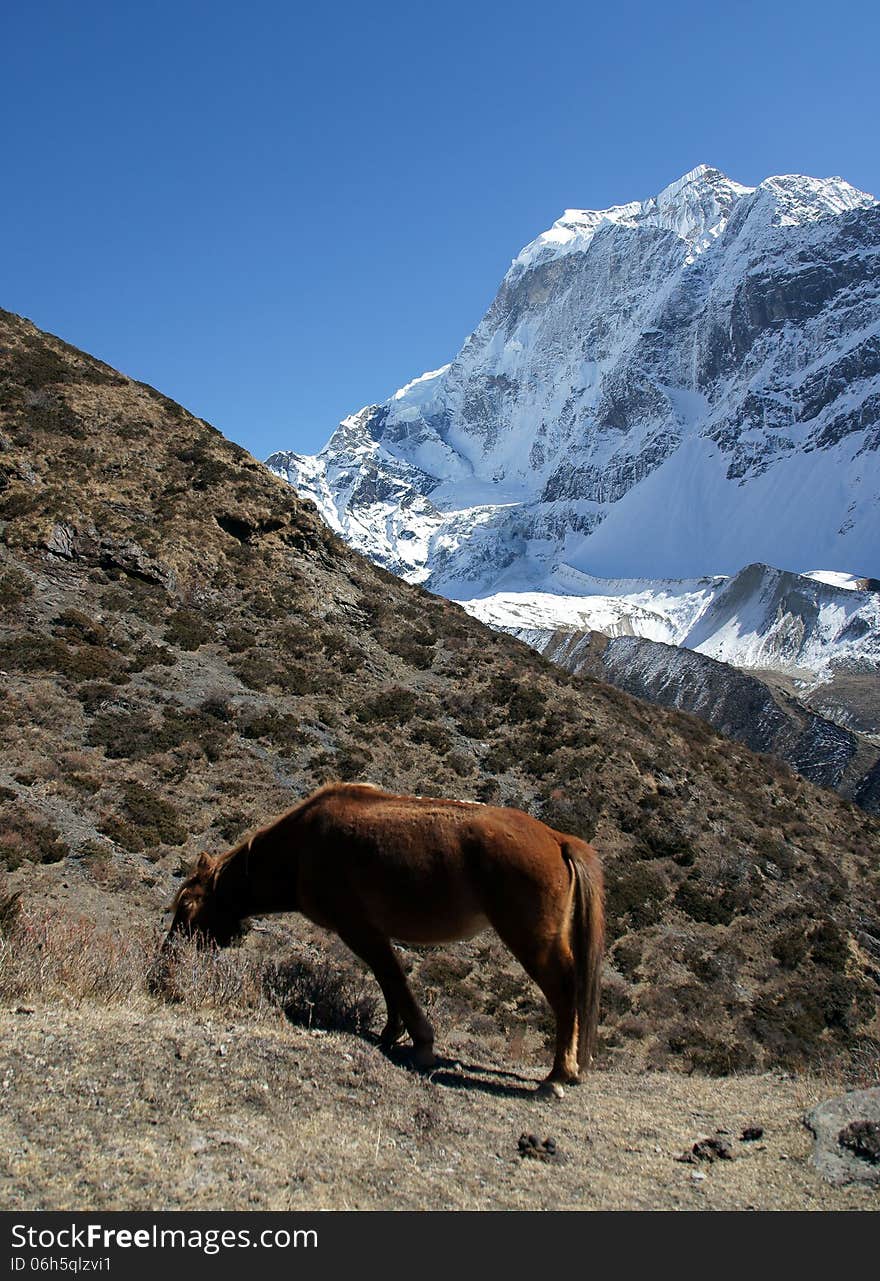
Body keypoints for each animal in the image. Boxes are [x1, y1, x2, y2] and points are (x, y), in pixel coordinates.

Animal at [166, 773, 604, 1096]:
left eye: (186, 906)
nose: (169, 959)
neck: (301, 848)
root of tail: (557, 839)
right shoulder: (371, 932)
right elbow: (388, 981)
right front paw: (391, 1034)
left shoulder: (358, 929)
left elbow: (392, 979)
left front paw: (420, 1044)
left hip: (533, 941)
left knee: (565, 991)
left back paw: (557, 1076)